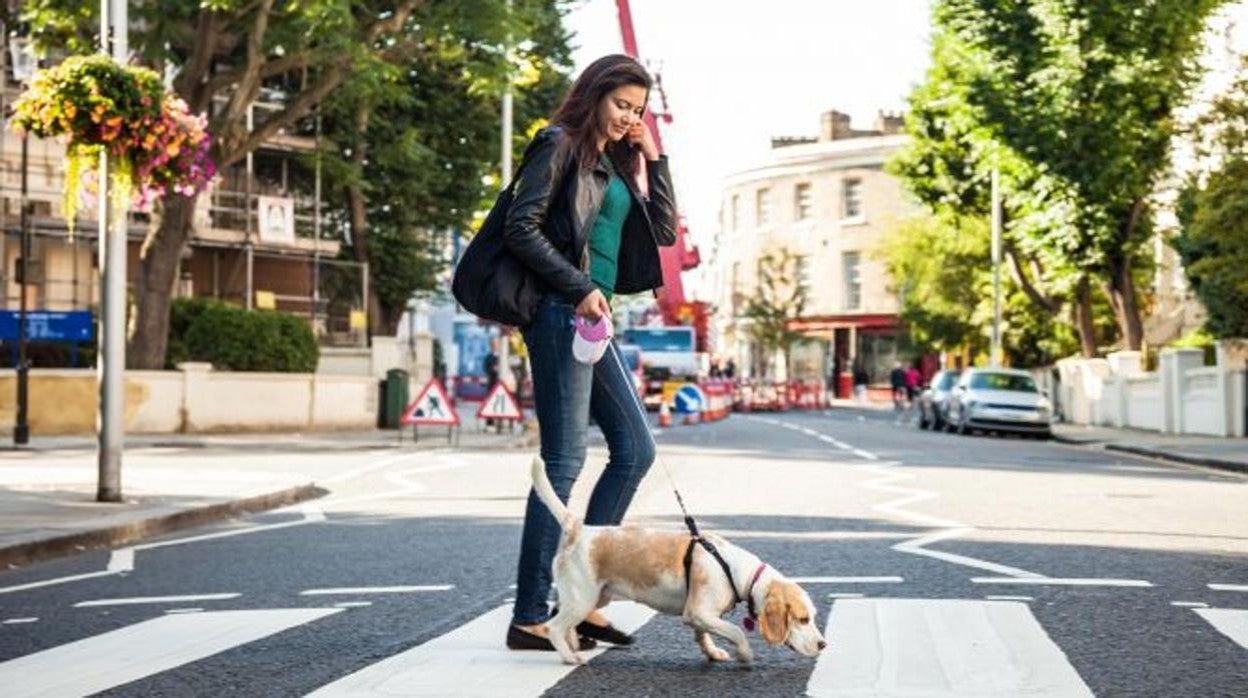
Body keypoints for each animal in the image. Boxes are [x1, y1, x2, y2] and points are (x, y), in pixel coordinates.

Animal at [529, 459, 828, 664]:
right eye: (803, 619)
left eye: (812, 617)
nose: (823, 645)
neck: (733, 569)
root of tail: (578, 528)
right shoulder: (699, 612)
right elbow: (736, 632)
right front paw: (744, 654)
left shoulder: (700, 616)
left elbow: (704, 635)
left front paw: (712, 652)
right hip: (583, 599)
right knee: (553, 627)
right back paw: (570, 656)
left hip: (594, 598)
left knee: (563, 621)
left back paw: (574, 645)